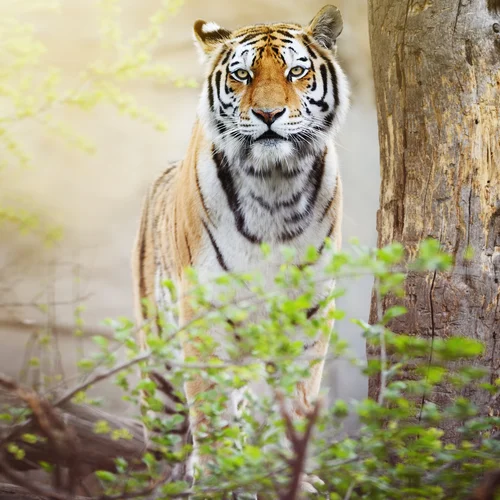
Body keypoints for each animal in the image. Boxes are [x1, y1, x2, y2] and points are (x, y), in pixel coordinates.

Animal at [132, 3, 348, 494]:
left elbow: (299, 398)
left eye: (296, 71)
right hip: (161, 353)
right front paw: (217, 477)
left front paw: (296, 479)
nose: (268, 114)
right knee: (166, 429)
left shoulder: (308, 309)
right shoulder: (204, 310)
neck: (275, 186)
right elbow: (210, 406)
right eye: (242, 74)